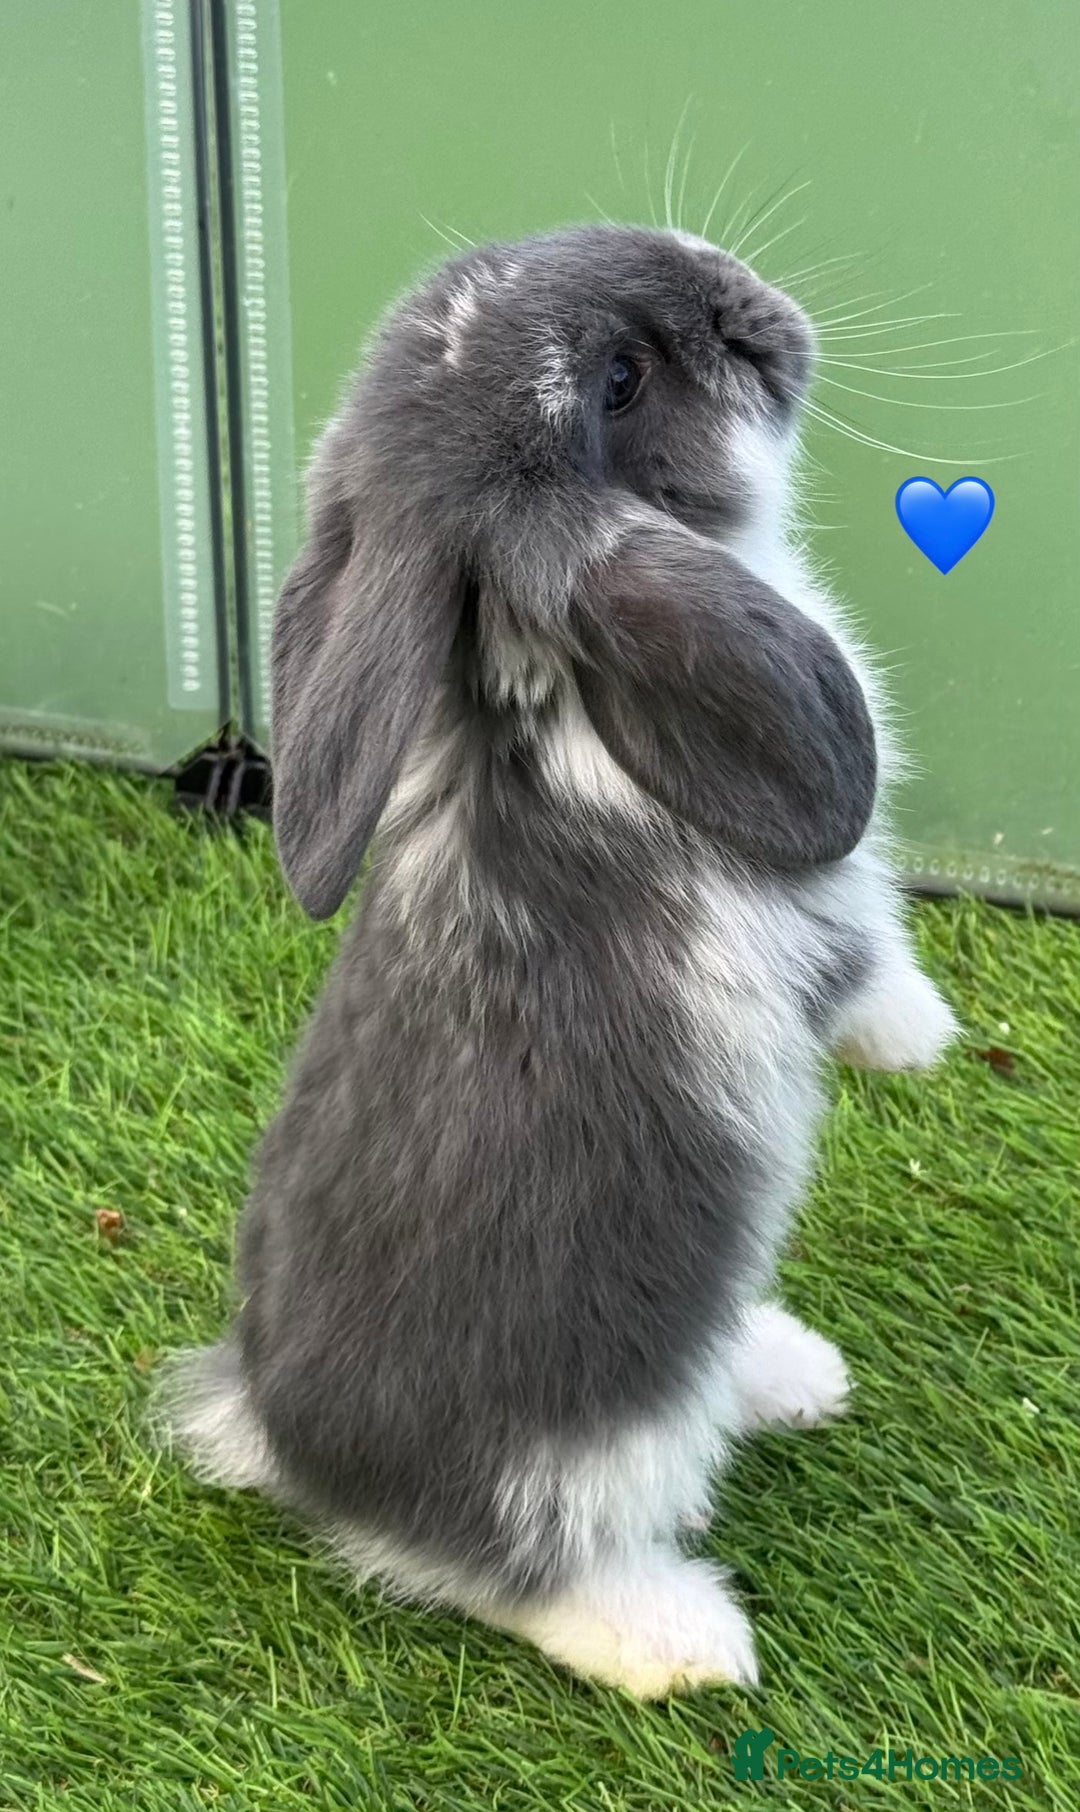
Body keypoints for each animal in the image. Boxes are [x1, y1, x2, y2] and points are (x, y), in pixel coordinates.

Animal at [161, 223, 957, 1698]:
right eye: (624, 379)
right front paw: (927, 1045)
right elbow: (876, 983)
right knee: (519, 1577)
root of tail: (299, 1462)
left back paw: (790, 1373)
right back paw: (689, 1642)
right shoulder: (828, 923)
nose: (732, 286)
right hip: (587, 1465)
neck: (548, 719)